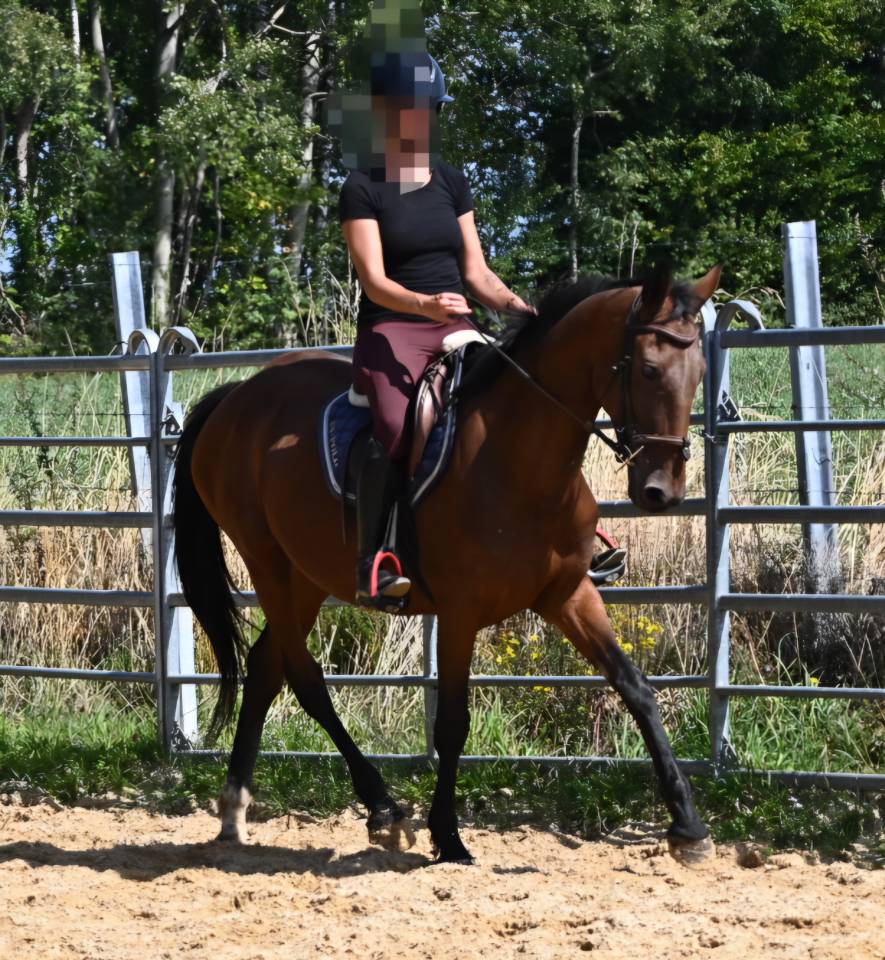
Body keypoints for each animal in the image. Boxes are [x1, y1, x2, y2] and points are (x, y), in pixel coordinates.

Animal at [171, 263, 721, 864]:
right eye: (648, 369)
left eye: (699, 373)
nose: (661, 491)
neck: (520, 460)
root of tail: (236, 396)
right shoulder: (460, 611)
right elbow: (453, 722)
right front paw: (449, 836)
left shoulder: (568, 592)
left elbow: (636, 688)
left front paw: (688, 826)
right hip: (266, 558)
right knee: (303, 675)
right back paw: (381, 803)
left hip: (308, 575)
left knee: (267, 666)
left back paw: (236, 808)